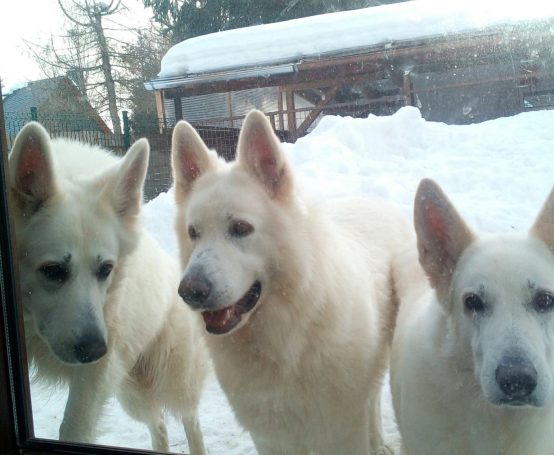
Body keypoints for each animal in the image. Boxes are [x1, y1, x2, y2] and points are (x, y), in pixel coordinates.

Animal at [8, 123, 207, 454]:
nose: (95, 350)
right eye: (53, 270)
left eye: (105, 270)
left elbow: (74, 429)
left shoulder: (96, 370)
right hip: (131, 391)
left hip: (172, 381)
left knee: (189, 419)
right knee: (159, 423)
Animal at [170, 110, 412, 455]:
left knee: (373, 397)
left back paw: (378, 442)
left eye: (241, 228)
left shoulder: (340, 432)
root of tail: (377, 203)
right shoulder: (272, 437)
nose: (190, 291)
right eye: (193, 233)